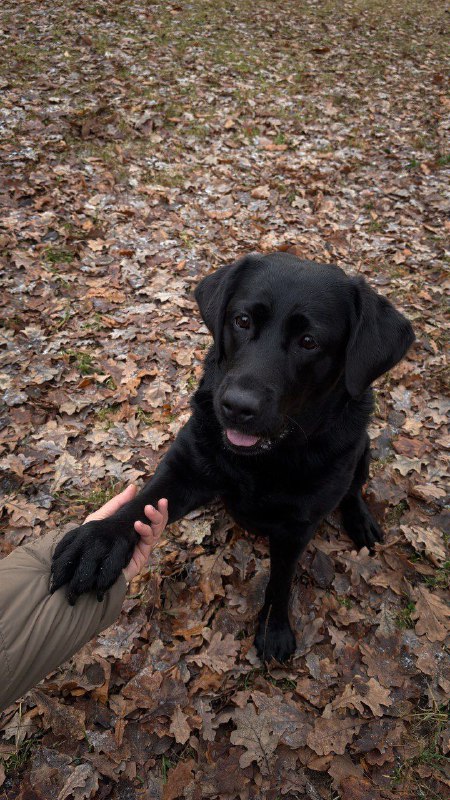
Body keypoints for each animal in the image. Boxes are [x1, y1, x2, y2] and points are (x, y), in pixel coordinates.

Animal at [50, 253, 414, 660]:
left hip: (362, 449)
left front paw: (274, 627)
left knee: (353, 490)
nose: (238, 407)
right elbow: (144, 503)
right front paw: (100, 540)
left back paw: (361, 520)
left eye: (309, 342)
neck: (264, 460)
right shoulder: (186, 466)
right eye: (242, 320)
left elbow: (280, 580)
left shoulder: (297, 526)